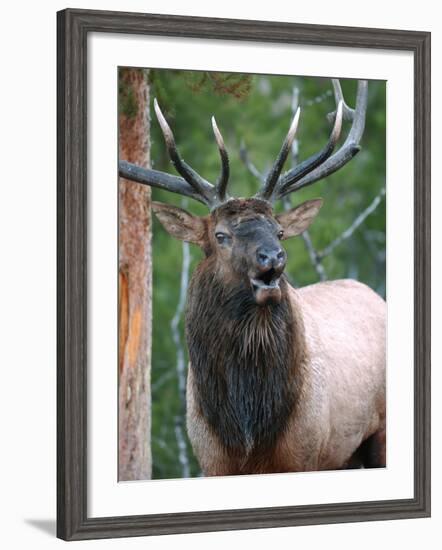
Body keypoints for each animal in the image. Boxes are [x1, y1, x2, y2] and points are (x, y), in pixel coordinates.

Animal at [119, 78, 386, 478]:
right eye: (220, 236)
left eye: (279, 231)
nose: (273, 257)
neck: (247, 430)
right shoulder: (211, 461)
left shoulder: (304, 456)